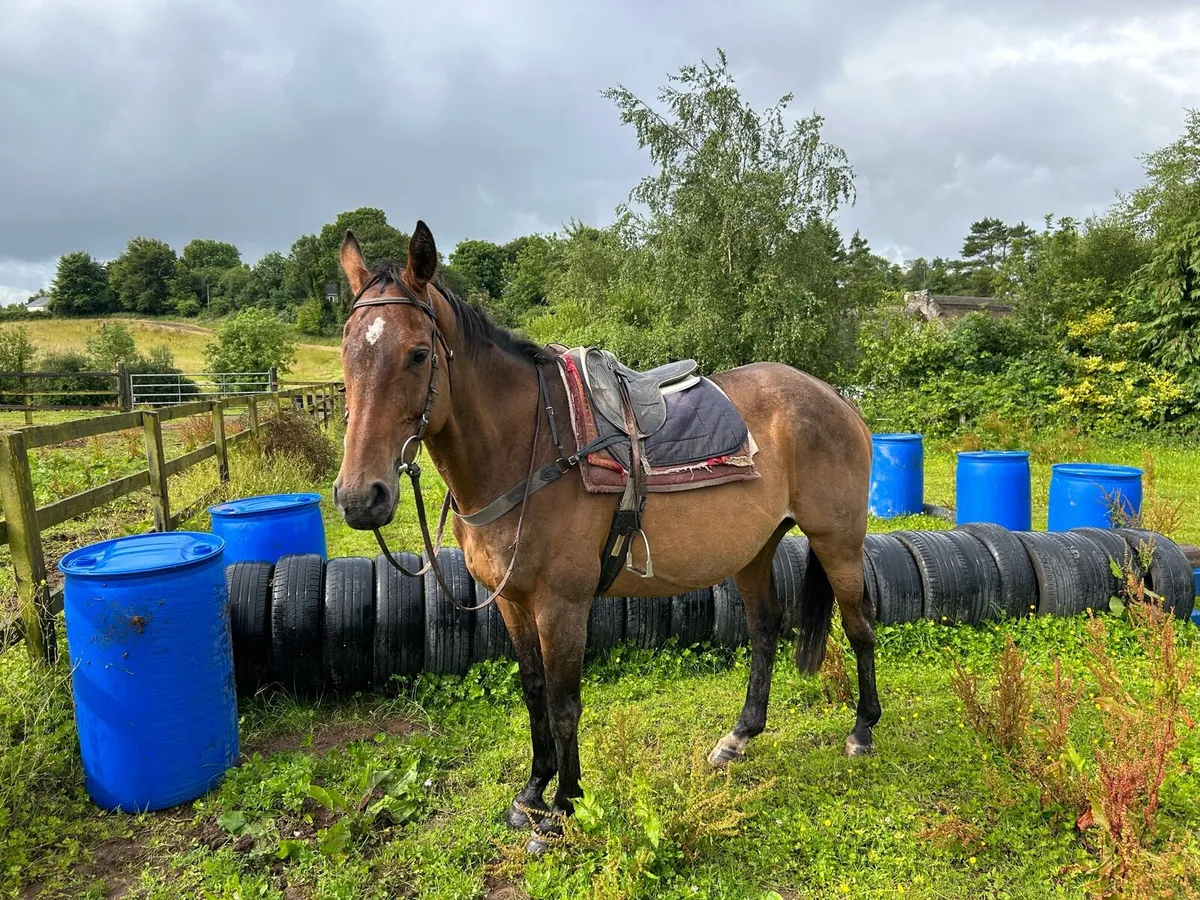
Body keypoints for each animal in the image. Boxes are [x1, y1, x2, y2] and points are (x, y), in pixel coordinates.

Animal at [332, 219, 879, 854]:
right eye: (347, 353)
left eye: (418, 355)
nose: (359, 497)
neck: (529, 447)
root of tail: (835, 398)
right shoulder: (512, 603)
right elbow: (534, 693)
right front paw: (532, 792)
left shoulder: (562, 604)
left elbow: (565, 703)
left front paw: (564, 808)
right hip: (755, 549)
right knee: (765, 631)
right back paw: (739, 737)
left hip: (838, 540)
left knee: (860, 626)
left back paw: (863, 730)